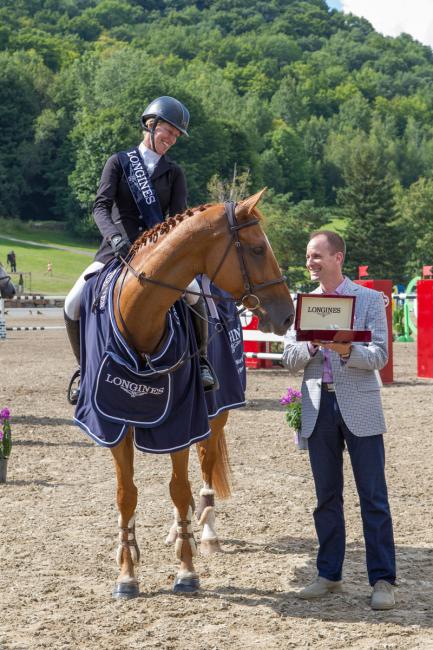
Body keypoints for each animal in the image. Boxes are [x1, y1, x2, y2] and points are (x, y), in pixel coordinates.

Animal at [105, 187, 294, 592]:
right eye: (257, 249)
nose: (287, 314)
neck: (141, 320)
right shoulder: (113, 424)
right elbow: (127, 495)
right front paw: (127, 572)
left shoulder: (182, 418)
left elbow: (180, 488)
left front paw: (187, 569)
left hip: (216, 413)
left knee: (204, 465)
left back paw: (204, 532)